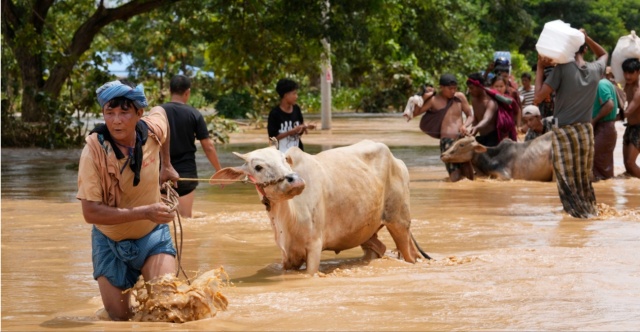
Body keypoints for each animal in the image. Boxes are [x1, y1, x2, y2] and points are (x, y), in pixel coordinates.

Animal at [211, 139, 430, 274]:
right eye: (258, 167)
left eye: (284, 160)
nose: (295, 181)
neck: (287, 217)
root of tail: (397, 161)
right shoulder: (287, 256)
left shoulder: (314, 246)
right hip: (366, 230)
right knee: (379, 248)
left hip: (399, 222)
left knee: (410, 254)